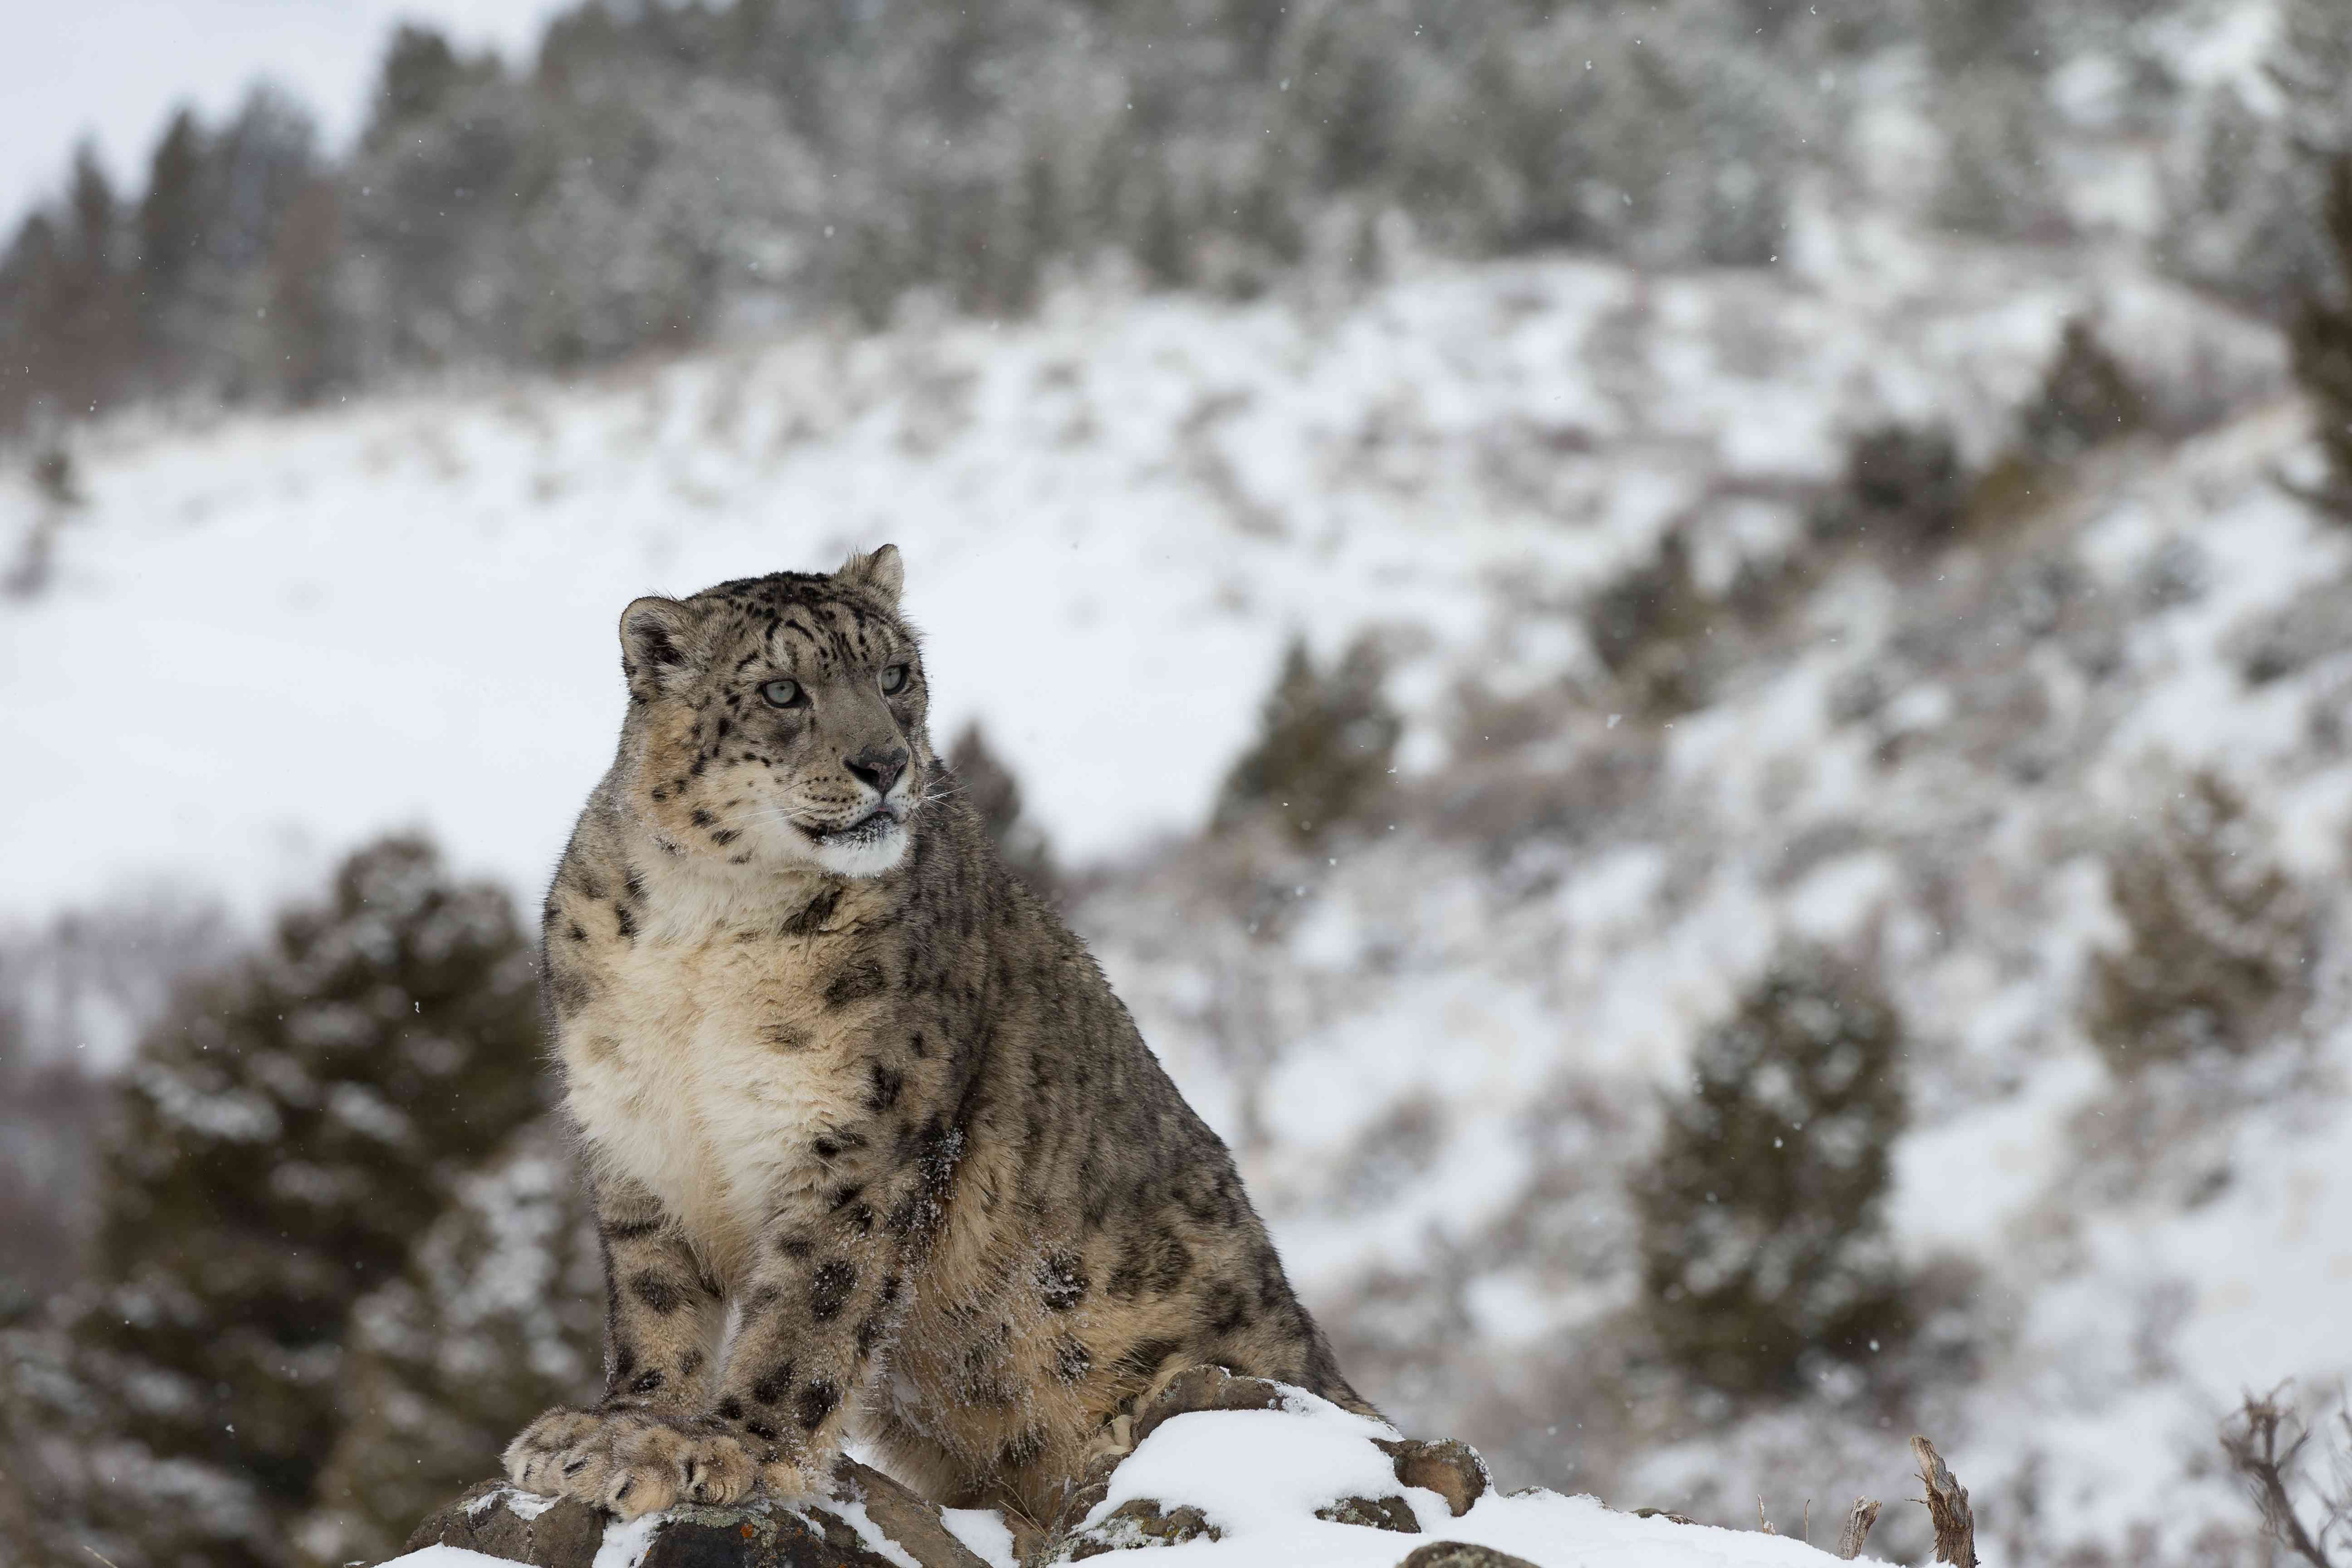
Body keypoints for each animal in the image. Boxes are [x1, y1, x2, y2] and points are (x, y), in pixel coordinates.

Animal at [503, 550, 1373, 1533]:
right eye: (780, 689)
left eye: (894, 674)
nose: (884, 763)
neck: (705, 927)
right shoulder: (637, 1129)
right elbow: (654, 1298)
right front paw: (616, 1431)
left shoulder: (866, 1138)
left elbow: (808, 1310)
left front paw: (726, 1449)